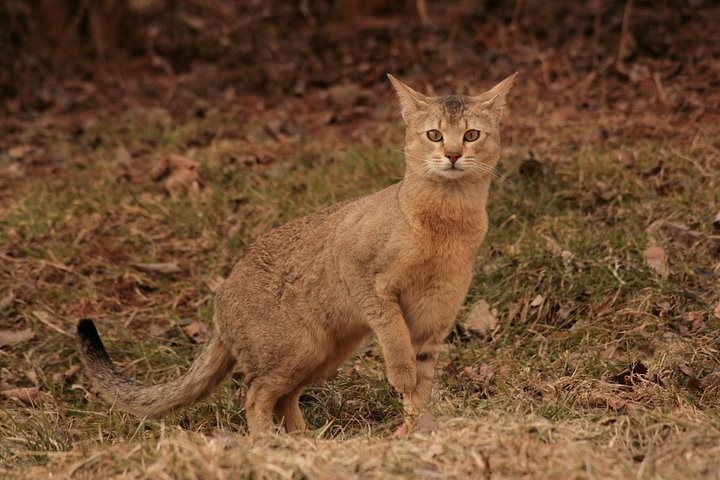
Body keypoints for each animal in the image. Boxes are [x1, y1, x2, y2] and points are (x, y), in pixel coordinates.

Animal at [77, 72, 516, 436]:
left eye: (472, 135)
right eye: (435, 135)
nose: (453, 155)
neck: (444, 225)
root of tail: (219, 305)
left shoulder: (433, 320)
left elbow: (421, 388)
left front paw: (414, 432)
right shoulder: (358, 269)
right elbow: (392, 332)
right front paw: (401, 377)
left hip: (325, 354)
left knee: (282, 396)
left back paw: (304, 440)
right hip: (296, 350)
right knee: (255, 393)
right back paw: (267, 443)